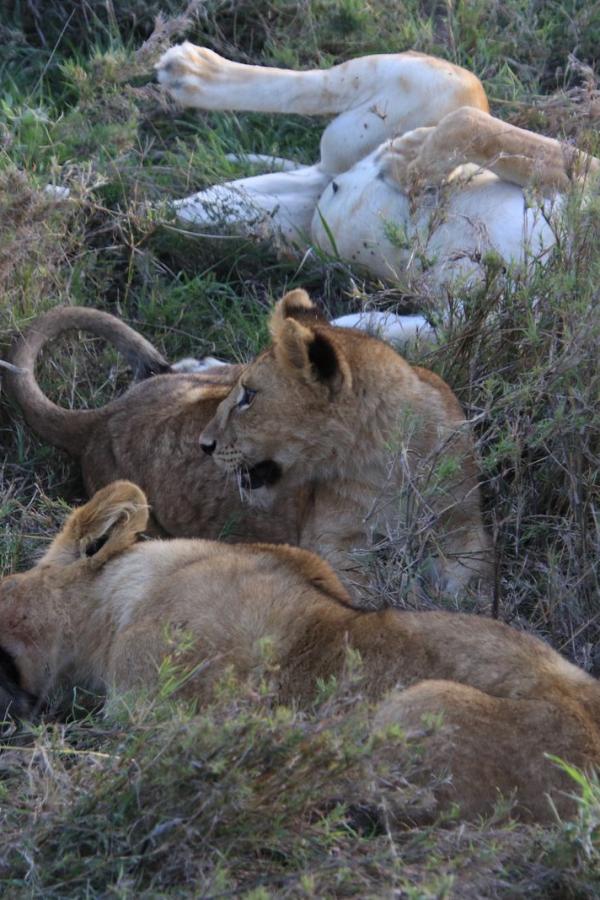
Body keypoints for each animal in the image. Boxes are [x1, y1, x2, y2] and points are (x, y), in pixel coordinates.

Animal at [156, 43, 600, 288]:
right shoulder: (585, 173)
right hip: (447, 84)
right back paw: (188, 70)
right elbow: (471, 128)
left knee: (190, 211)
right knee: (315, 85)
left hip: (280, 216)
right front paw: (408, 159)